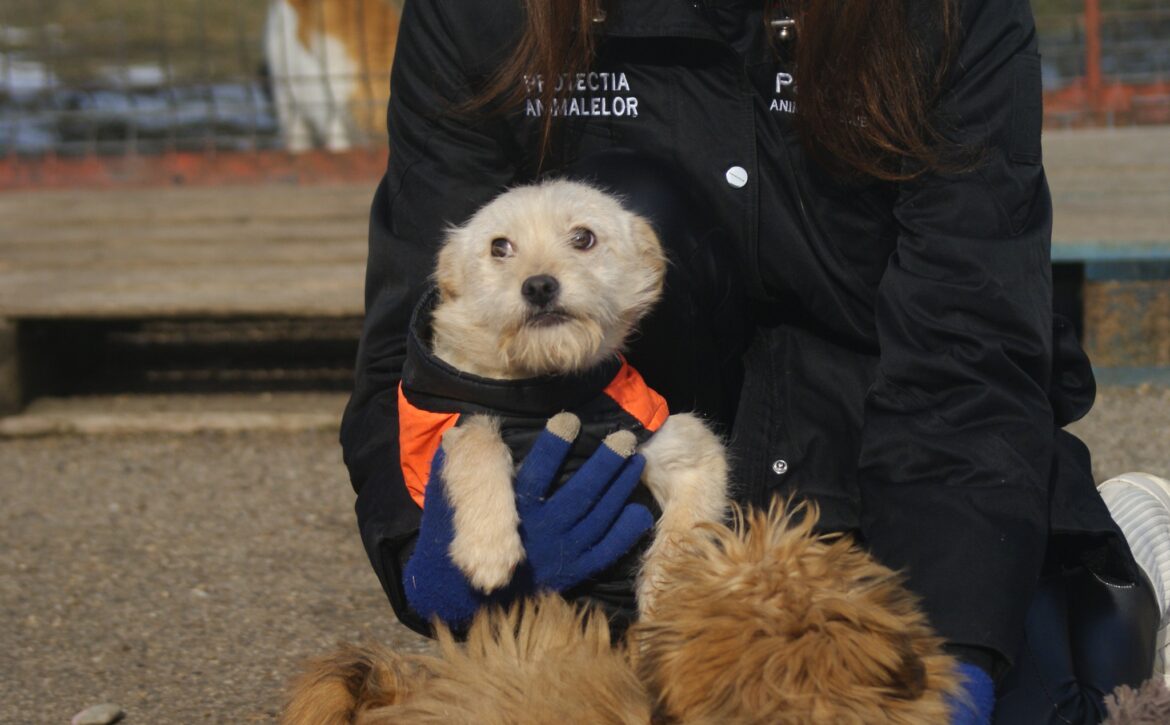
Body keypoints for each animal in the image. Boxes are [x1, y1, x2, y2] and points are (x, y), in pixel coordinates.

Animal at [425, 180, 725, 612]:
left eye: (583, 238)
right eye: (499, 247)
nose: (538, 286)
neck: (548, 384)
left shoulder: (686, 448)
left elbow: (687, 531)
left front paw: (666, 592)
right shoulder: (454, 419)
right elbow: (478, 438)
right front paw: (488, 545)